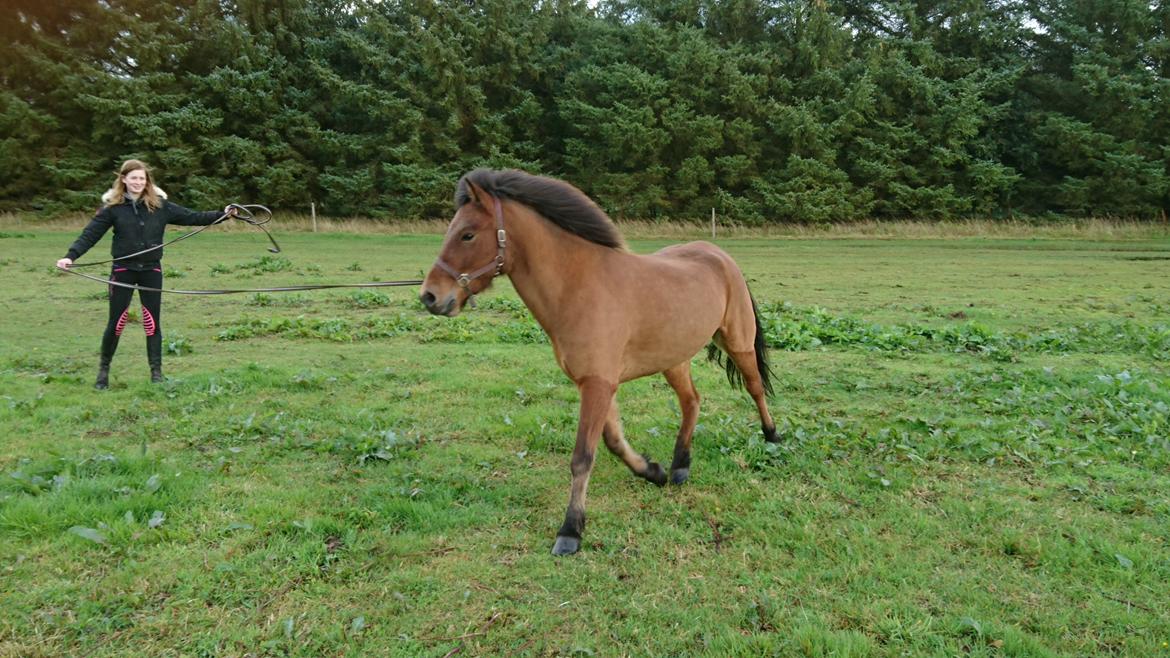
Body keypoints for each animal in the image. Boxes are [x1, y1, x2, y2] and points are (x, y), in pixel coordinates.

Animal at [421, 168, 776, 552]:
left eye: (467, 234)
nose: (430, 296)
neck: (579, 286)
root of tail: (718, 254)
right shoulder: (598, 384)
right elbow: (614, 442)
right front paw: (653, 472)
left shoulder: (598, 384)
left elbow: (582, 457)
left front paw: (570, 531)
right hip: (674, 359)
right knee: (692, 402)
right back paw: (680, 466)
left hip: (738, 342)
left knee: (755, 388)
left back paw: (772, 437)